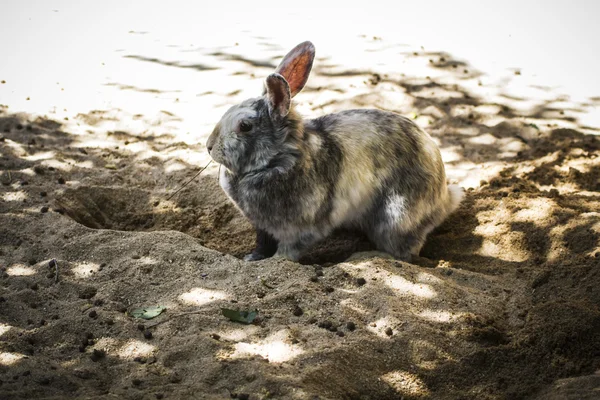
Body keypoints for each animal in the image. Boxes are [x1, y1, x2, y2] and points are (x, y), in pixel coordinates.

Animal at [206, 41, 464, 262]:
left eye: (245, 126)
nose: (209, 146)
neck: (279, 159)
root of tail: (443, 198)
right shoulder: (262, 227)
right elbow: (262, 244)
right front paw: (252, 259)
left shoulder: (300, 230)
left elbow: (288, 251)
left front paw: (277, 261)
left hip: (396, 217)